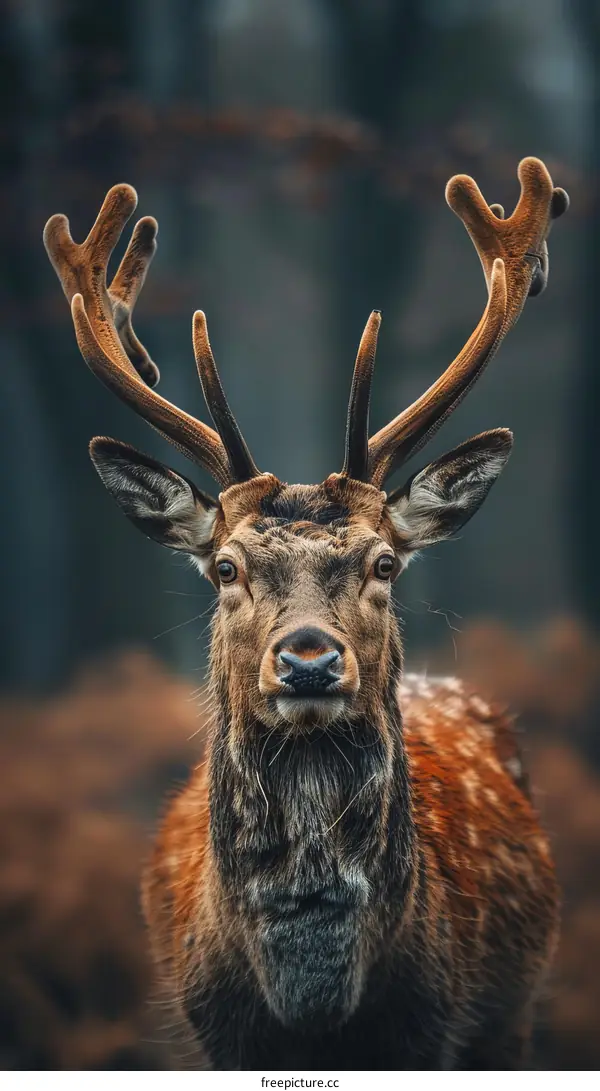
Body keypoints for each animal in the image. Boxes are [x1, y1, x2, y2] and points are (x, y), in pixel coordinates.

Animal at [44, 157, 568, 1070]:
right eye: (226, 567)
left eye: (384, 562)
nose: (309, 659)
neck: (317, 1012)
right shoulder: (215, 1033)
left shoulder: (439, 1028)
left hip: (514, 1020)